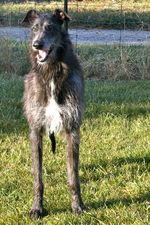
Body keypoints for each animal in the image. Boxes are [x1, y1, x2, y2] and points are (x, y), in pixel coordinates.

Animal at [22, 8, 85, 218]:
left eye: (50, 27)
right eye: (34, 28)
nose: (37, 45)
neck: (51, 73)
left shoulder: (72, 129)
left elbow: (73, 176)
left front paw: (77, 206)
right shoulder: (35, 131)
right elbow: (37, 178)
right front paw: (36, 208)